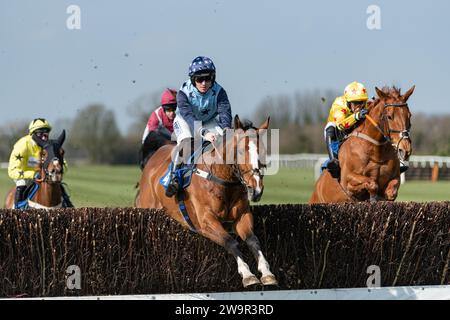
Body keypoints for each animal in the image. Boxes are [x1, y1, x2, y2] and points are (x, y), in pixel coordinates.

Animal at [135, 115, 278, 288]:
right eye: (240, 151)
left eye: (263, 151)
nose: (256, 189)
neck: (222, 179)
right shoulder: (205, 220)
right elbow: (230, 241)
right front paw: (247, 274)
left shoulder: (242, 215)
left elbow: (253, 241)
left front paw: (267, 272)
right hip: (146, 206)